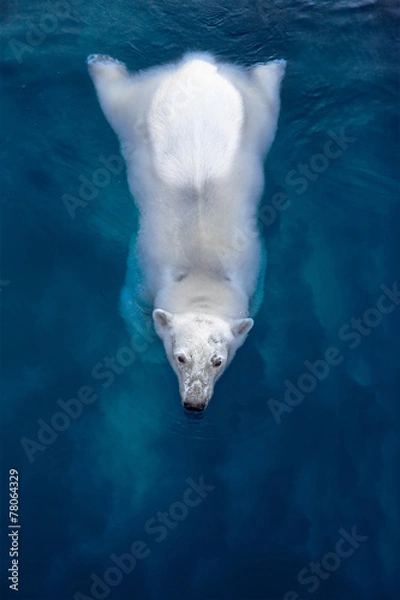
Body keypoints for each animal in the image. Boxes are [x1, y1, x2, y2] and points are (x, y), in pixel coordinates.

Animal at [89, 51, 286, 410]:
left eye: (217, 360)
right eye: (180, 356)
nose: (195, 404)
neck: (201, 269)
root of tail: (197, 66)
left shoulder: (253, 274)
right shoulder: (144, 273)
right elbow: (131, 305)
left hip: (255, 115)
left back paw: (272, 68)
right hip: (138, 108)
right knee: (114, 97)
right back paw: (101, 63)